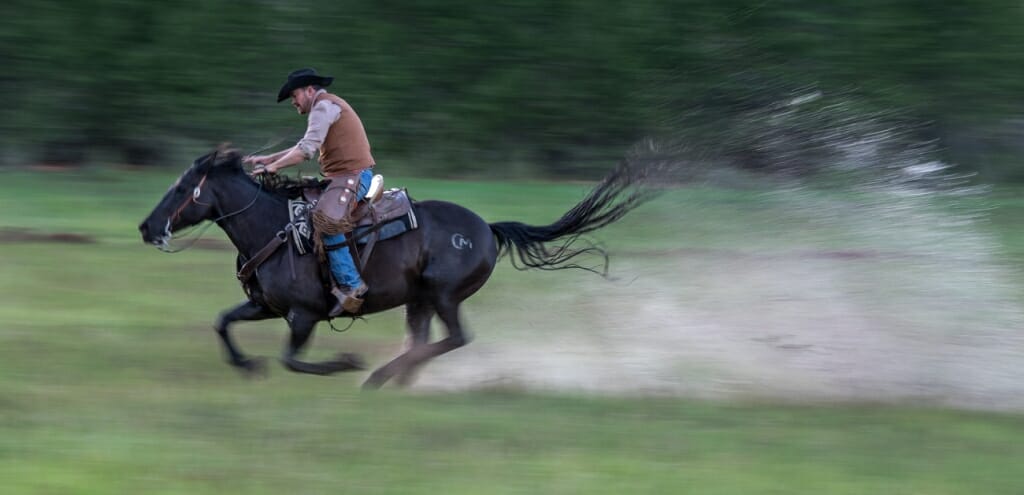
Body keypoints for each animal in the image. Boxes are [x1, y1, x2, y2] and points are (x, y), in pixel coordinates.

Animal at [138, 149, 655, 389]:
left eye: (183, 188)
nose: (146, 227)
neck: (274, 230)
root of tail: (486, 228)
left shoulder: (304, 315)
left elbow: (292, 359)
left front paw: (346, 362)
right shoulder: (266, 306)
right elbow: (223, 322)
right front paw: (247, 365)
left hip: (443, 295)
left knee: (454, 339)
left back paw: (378, 377)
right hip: (419, 299)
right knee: (425, 341)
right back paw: (398, 380)